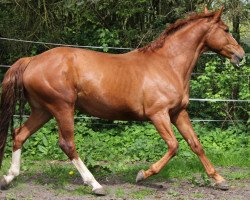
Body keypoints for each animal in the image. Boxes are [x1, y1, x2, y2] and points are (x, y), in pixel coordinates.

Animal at [0, 7, 244, 195]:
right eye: (226, 30)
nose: (241, 56)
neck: (168, 64)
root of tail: (31, 60)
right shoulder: (158, 114)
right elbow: (174, 146)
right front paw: (142, 175)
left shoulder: (178, 113)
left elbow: (196, 145)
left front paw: (220, 181)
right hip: (62, 108)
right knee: (67, 144)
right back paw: (95, 185)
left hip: (43, 110)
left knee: (19, 135)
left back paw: (8, 178)